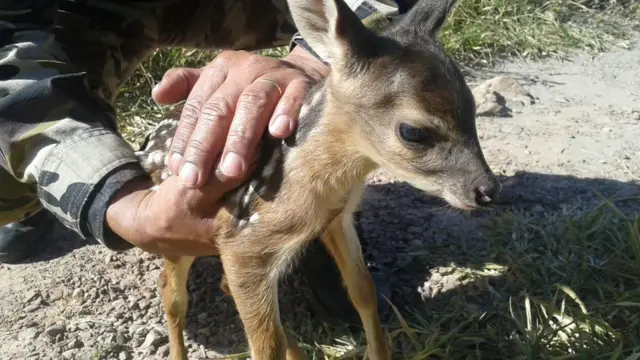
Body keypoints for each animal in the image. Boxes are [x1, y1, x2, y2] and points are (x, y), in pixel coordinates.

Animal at [136, 0, 500, 358]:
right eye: (413, 132)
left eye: (471, 107)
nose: (487, 190)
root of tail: (146, 144)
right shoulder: (241, 242)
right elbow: (266, 345)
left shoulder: (337, 218)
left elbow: (363, 291)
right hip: (177, 238)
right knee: (172, 295)